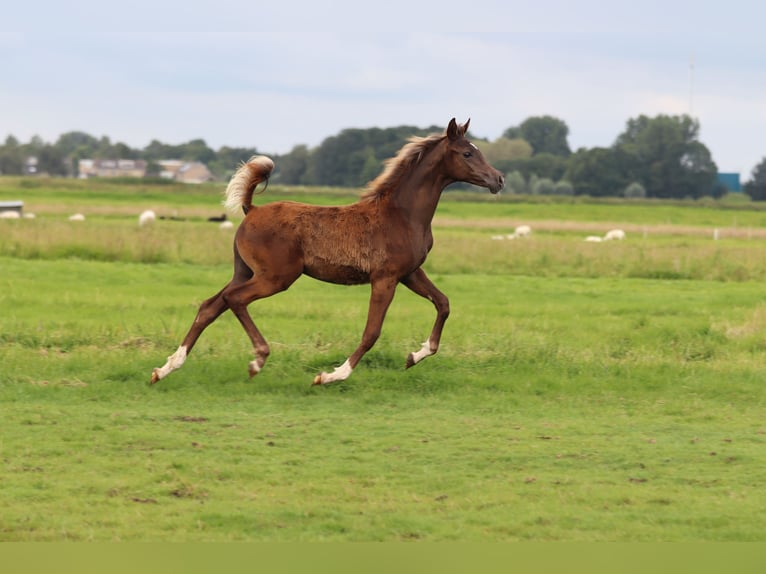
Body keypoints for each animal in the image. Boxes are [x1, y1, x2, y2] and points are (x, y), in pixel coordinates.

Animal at [152, 118, 508, 388]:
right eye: (467, 153)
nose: (499, 179)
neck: (402, 214)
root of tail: (251, 209)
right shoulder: (385, 278)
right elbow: (371, 332)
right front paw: (331, 375)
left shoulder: (410, 273)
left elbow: (443, 304)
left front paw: (413, 356)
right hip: (276, 277)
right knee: (233, 299)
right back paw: (257, 360)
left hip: (246, 271)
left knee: (210, 305)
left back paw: (166, 368)